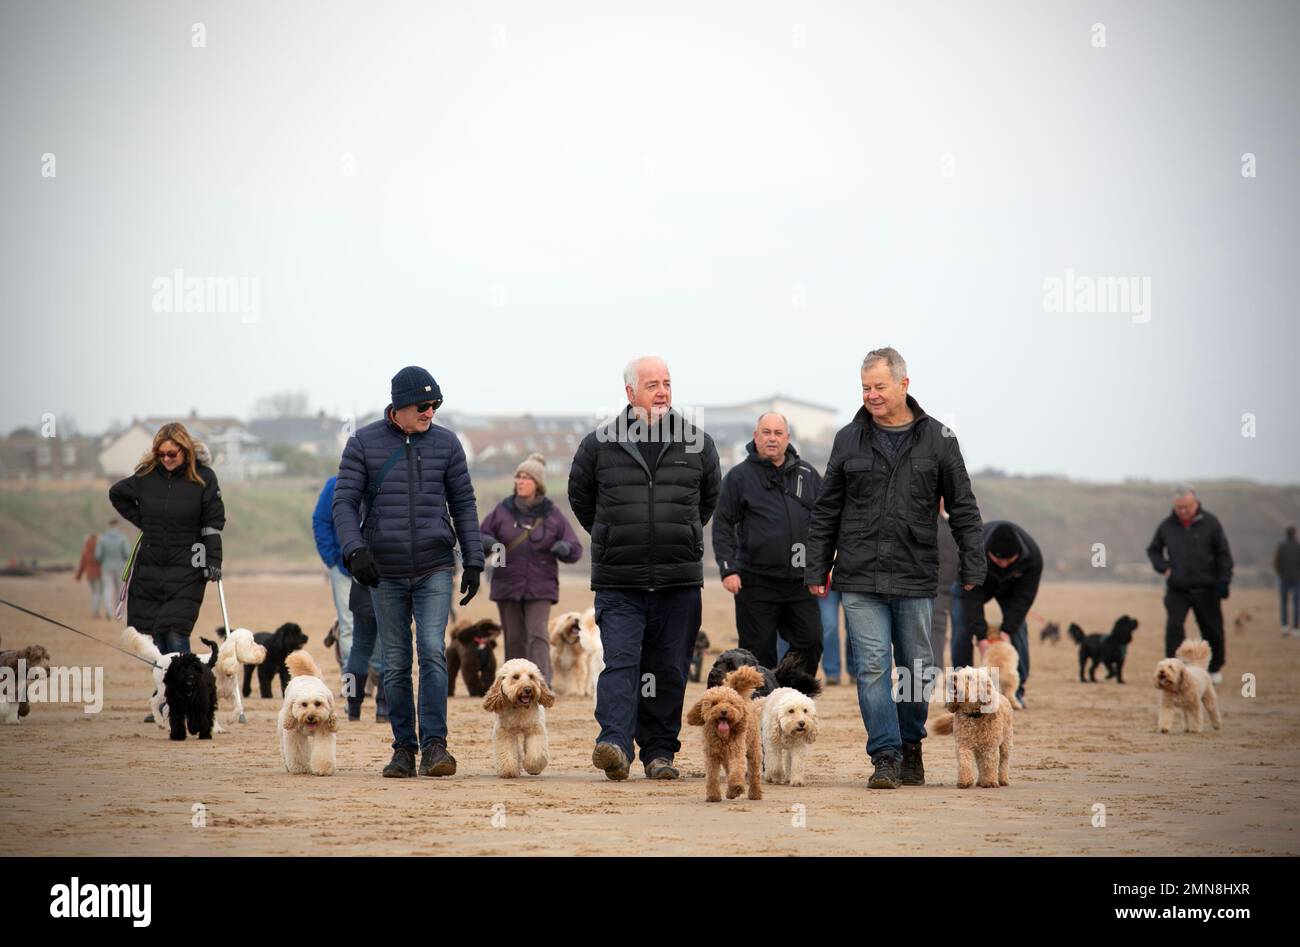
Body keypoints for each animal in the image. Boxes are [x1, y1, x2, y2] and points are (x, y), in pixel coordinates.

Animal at [686, 663, 764, 801]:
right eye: (714, 703)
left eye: (731, 703)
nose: (723, 711)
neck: (723, 737)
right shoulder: (712, 756)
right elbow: (712, 776)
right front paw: (713, 796)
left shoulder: (736, 752)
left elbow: (737, 769)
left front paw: (737, 786)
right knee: (729, 772)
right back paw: (731, 793)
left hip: (753, 750)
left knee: (754, 773)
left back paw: (754, 794)